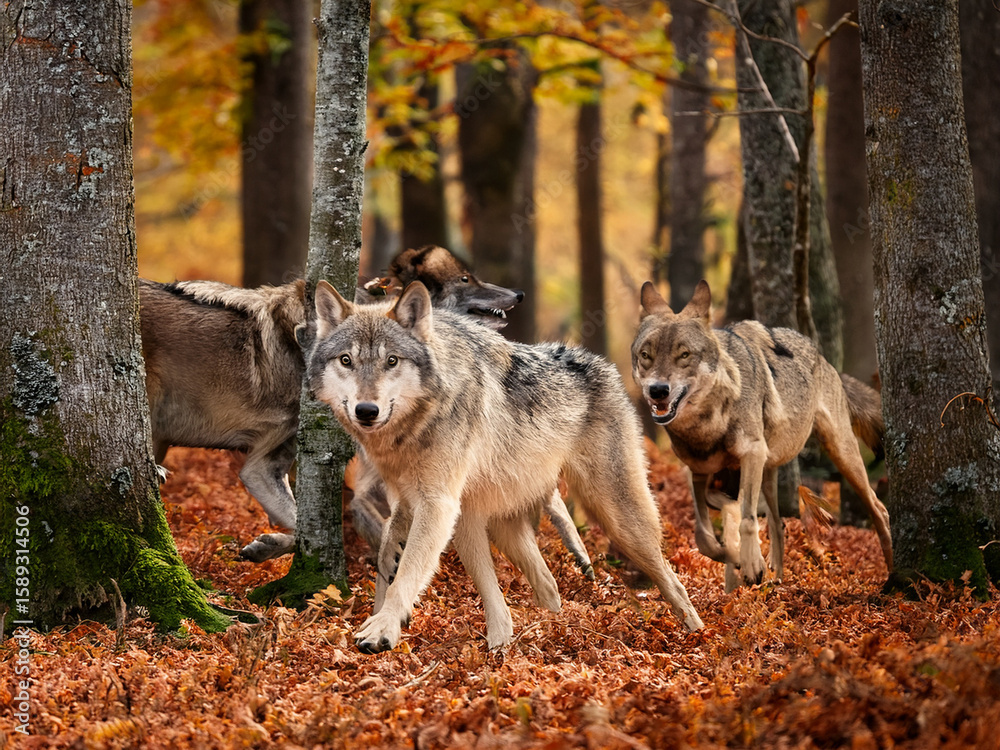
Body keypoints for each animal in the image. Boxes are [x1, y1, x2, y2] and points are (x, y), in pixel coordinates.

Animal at [307, 280, 704, 652]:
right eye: (346, 361)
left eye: (392, 361)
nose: (366, 411)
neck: (415, 424)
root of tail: (602, 364)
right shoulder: (405, 498)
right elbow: (388, 553)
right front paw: (381, 605)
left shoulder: (437, 502)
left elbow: (405, 575)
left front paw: (383, 629)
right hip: (485, 521)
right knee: (545, 585)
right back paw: (519, 640)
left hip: (618, 519)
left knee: (673, 580)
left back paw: (699, 635)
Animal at [632, 280, 893, 590]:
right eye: (645, 355)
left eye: (684, 355)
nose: (658, 390)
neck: (708, 426)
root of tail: (824, 359)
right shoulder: (699, 472)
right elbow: (704, 535)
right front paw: (733, 557)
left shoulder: (751, 454)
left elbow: (746, 519)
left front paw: (751, 566)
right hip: (769, 472)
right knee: (778, 522)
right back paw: (775, 579)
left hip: (840, 452)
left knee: (879, 508)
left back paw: (893, 574)